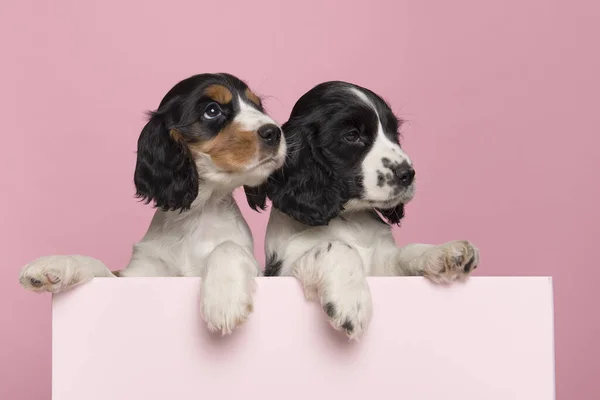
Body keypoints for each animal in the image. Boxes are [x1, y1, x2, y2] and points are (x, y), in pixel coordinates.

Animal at [19, 72, 288, 334]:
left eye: (258, 105)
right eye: (212, 110)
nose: (274, 132)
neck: (197, 213)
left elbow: (228, 247)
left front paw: (223, 299)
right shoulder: (140, 276)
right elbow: (101, 268)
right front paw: (53, 265)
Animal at [244, 81, 478, 340]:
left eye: (394, 133)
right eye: (352, 135)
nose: (407, 174)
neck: (349, 218)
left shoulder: (385, 270)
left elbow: (405, 252)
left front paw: (446, 252)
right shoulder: (282, 271)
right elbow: (336, 247)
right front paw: (350, 303)